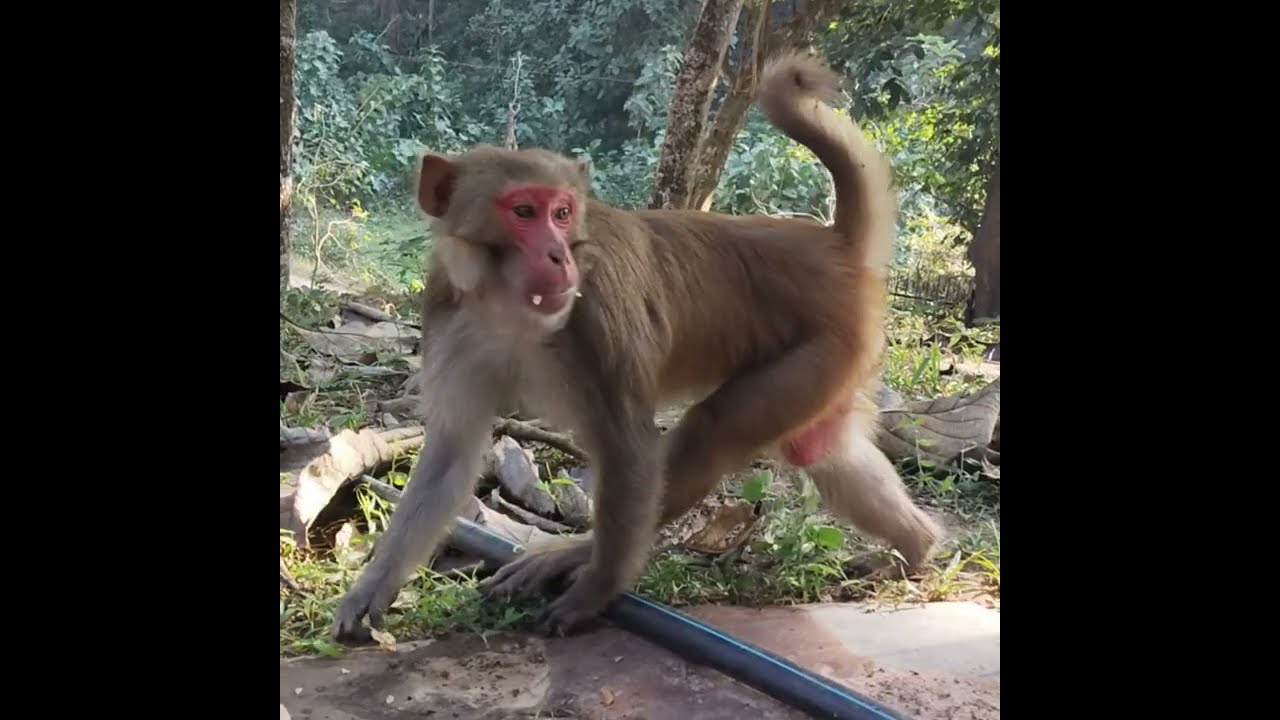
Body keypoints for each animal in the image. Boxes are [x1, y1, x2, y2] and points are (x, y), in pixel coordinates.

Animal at [330, 51, 944, 642]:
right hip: (840, 360)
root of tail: (832, 246)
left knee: (712, 432)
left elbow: (630, 448)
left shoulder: (598, 315)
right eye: (524, 212)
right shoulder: (448, 312)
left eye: (562, 213)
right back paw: (917, 548)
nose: (559, 256)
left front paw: (593, 593)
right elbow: (452, 454)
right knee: (821, 449)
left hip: (822, 349)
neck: (507, 306)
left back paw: (576, 555)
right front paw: (371, 590)